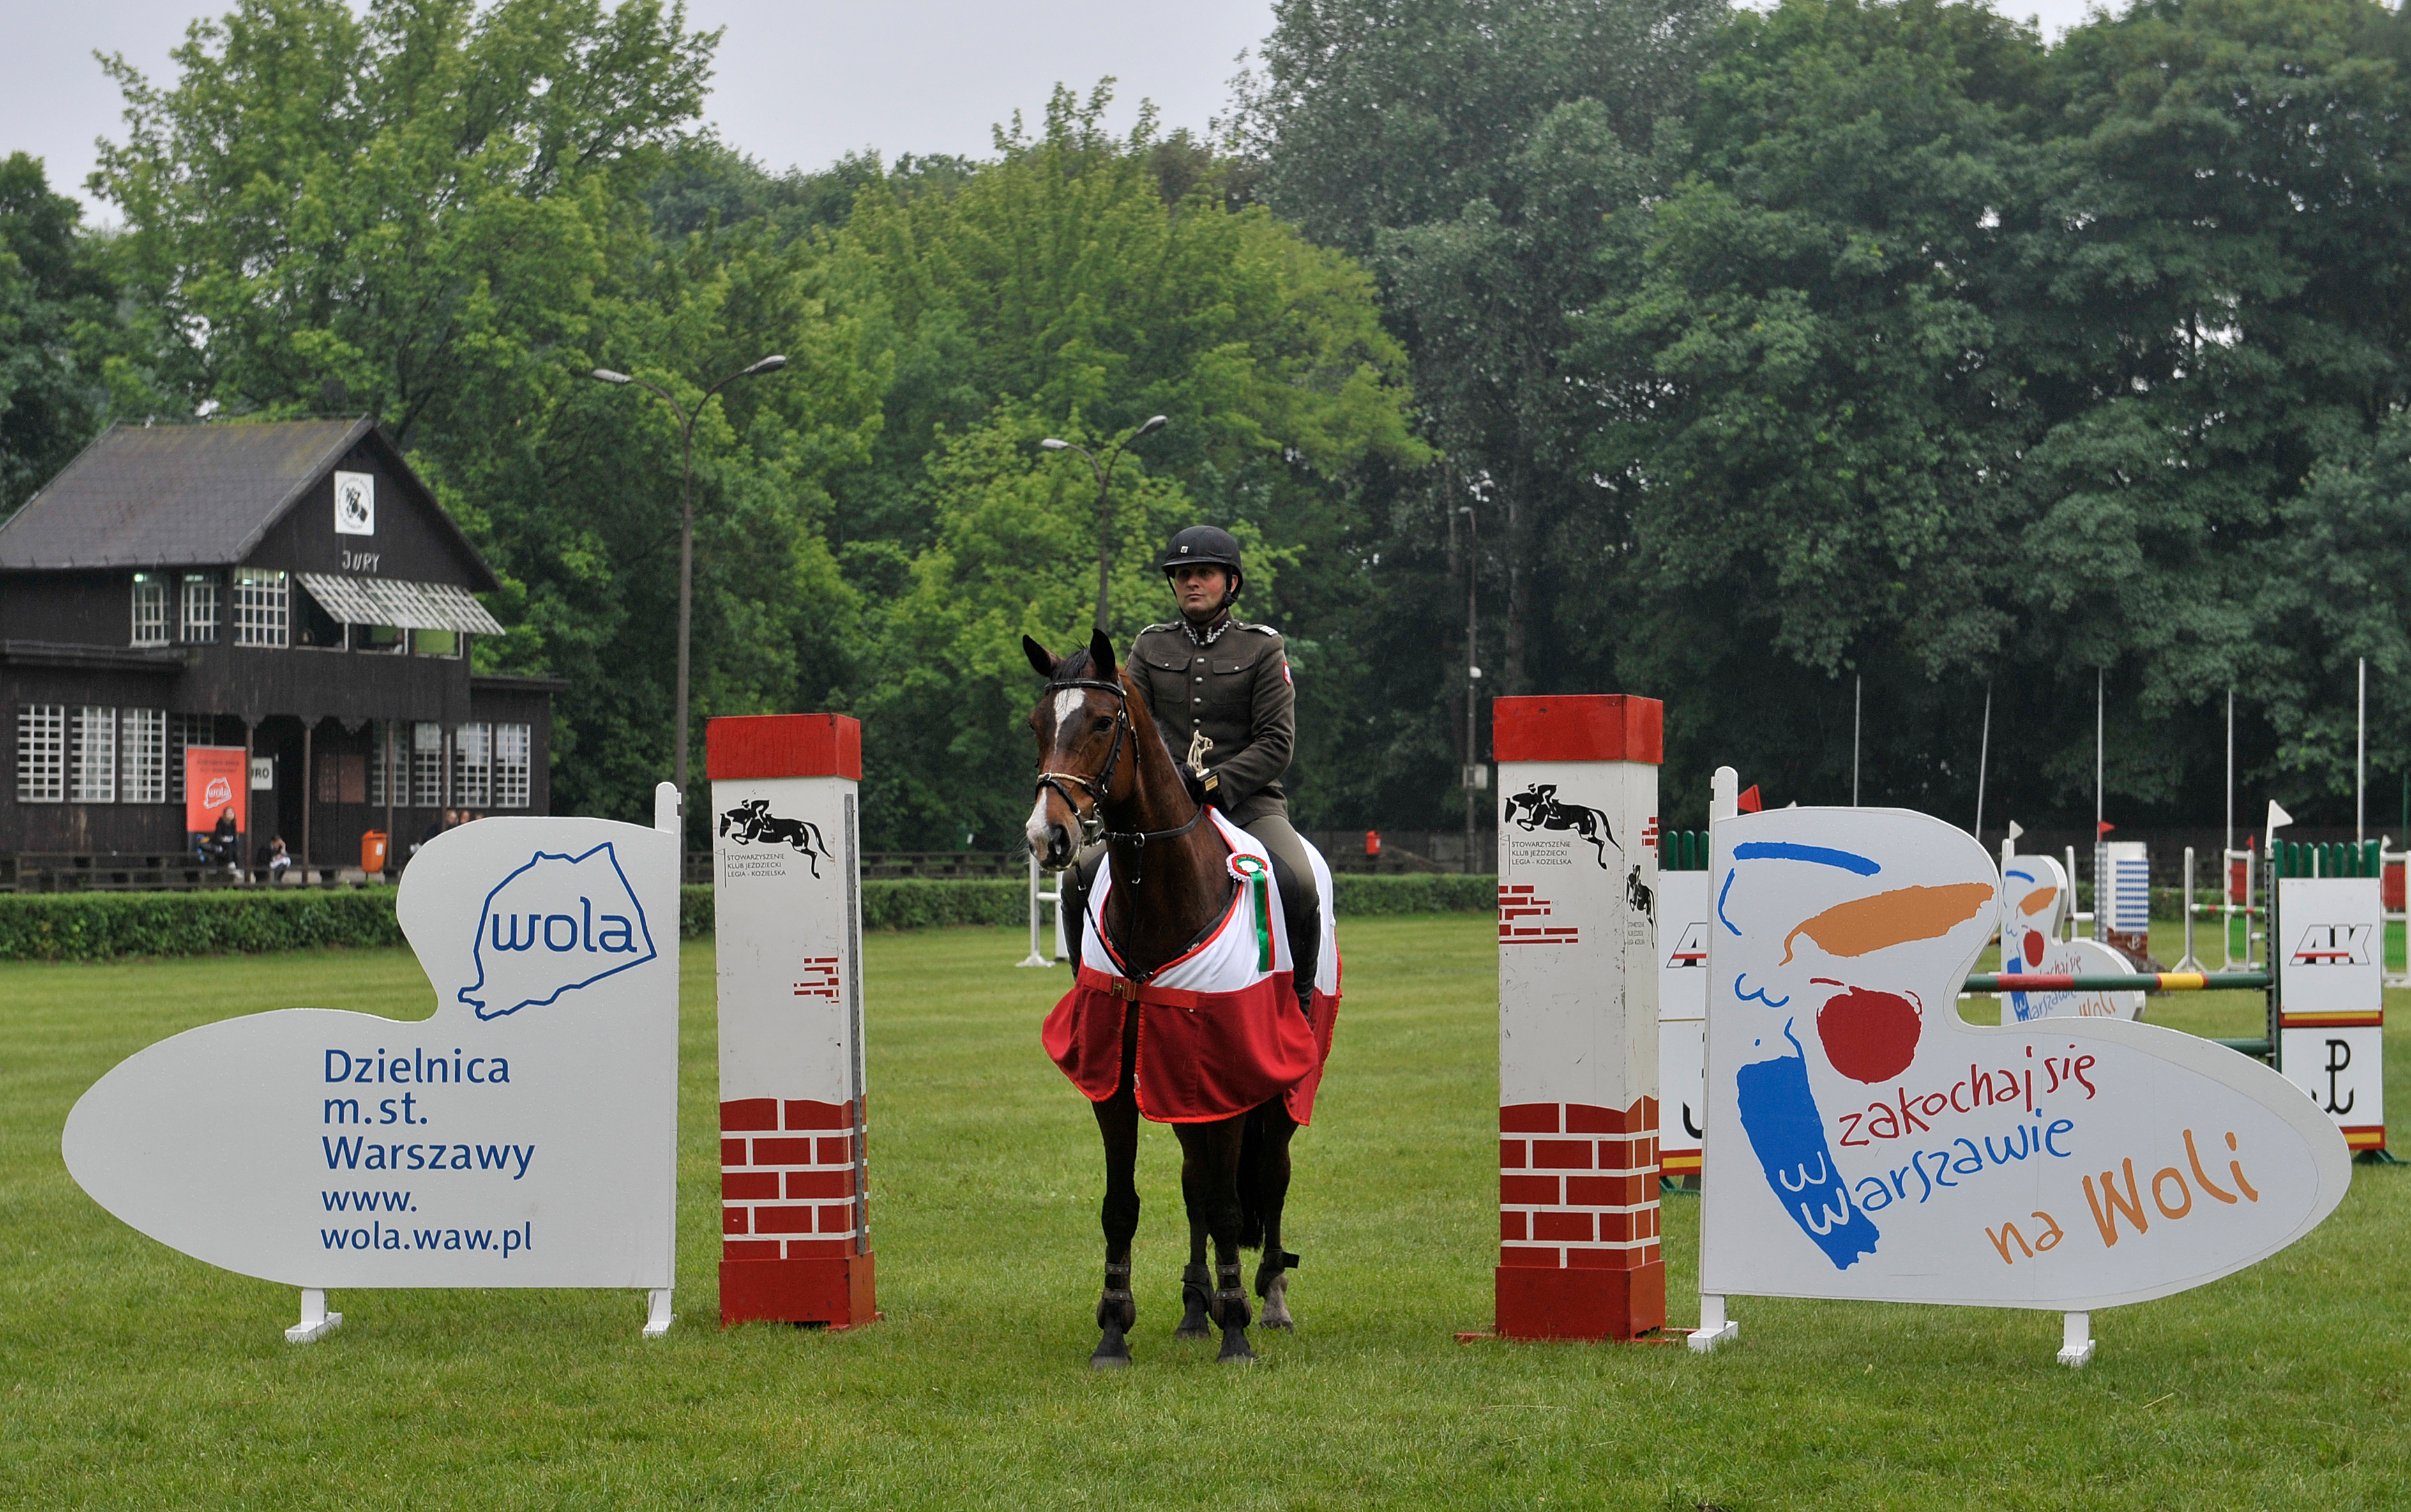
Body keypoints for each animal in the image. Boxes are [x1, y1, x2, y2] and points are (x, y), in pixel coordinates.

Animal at [1008, 626, 1331, 1370]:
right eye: (1038, 724)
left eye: (1103, 722)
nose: (1048, 837)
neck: (1162, 896)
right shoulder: (1117, 1078)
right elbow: (1123, 1203)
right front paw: (1113, 1328)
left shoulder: (1233, 1075)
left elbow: (1233, 1204)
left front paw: (1237, 1327)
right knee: (1194, 1184)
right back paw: (1192, 1307)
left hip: (1280, 1088)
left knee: (1268, 1178)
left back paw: (1268, 1301)